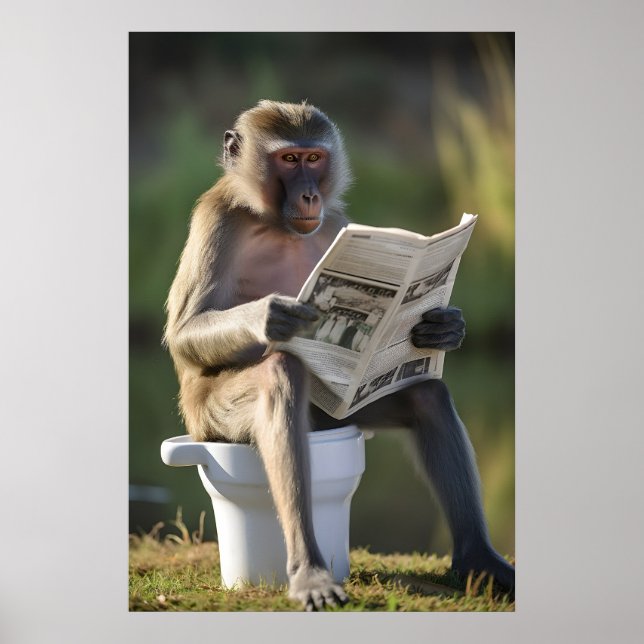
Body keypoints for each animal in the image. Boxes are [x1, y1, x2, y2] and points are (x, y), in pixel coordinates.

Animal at [164, 100, 515, 610]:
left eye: (314, 158)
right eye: (289, 160)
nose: (310, 195)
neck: (272, 221)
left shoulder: (337, 226)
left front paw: (444, 327)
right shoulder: (219, 219)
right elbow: (185, 331)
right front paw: (271, 317)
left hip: (337, 412)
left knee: (425, 396)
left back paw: (478, 560)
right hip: (210, 418)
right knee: (281, 377)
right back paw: (308, 569)